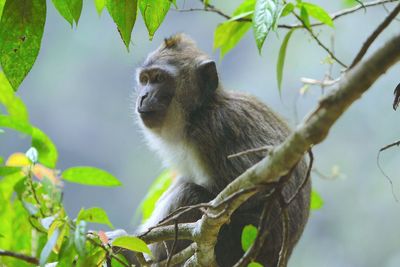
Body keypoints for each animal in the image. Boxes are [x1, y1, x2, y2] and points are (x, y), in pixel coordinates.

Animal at [126, 34, 310, 267]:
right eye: (145, 79)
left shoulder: (216, 129)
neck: (198, 112)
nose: (143, 96)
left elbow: (260, 192)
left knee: (189, 194)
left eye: (159, 78)